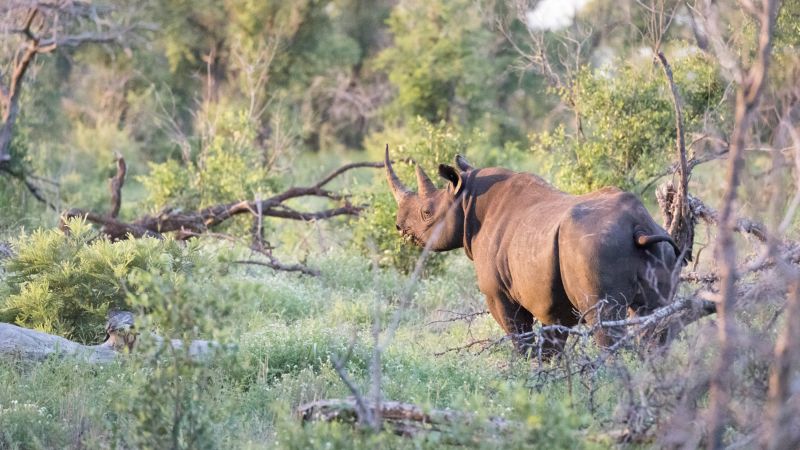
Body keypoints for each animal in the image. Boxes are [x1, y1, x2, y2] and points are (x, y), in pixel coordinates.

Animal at [384, 146, 680, 357]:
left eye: (426, 213)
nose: (399, 226)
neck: (466, 201)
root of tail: (637, 226)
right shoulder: (554, 301)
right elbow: (552, 344)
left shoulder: (499, 294)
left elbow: (519, 337)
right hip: (661, 249)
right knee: (658, 320)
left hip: (596, 248)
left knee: (604, 323)